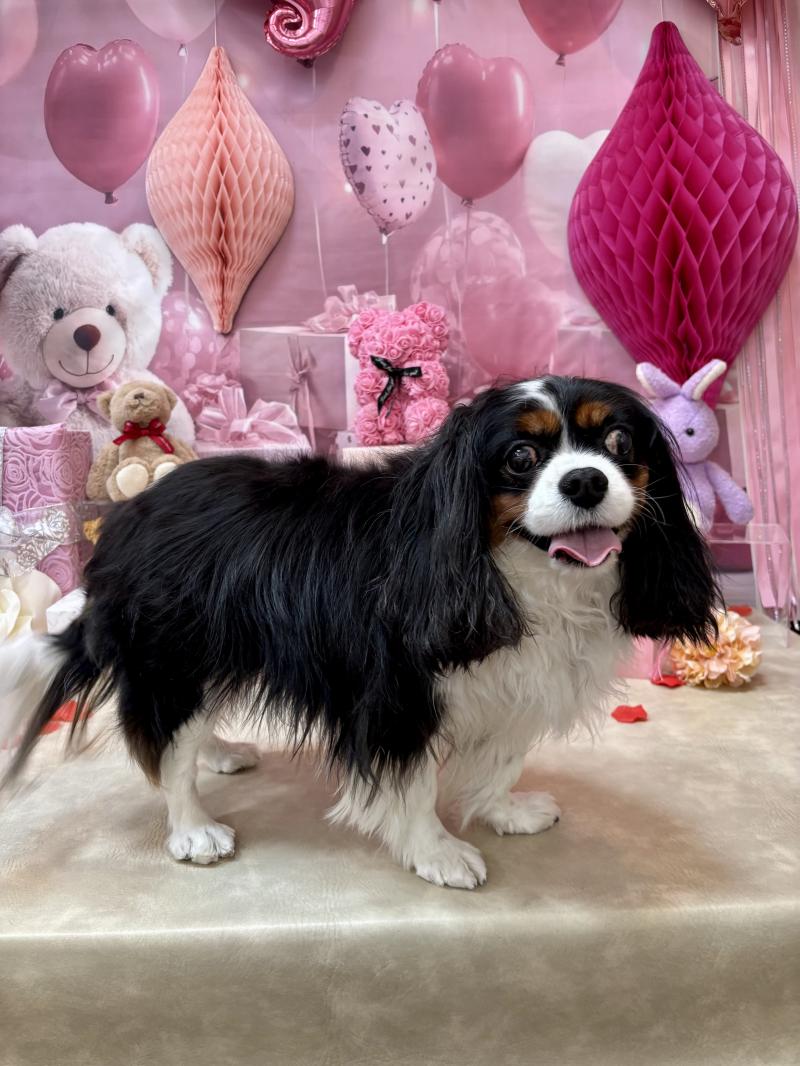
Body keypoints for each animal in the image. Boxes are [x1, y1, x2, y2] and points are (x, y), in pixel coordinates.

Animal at [1, 377, 718, 888]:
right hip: (176, 655)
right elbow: (416, 783)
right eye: (521, 456)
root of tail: (129, 514)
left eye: (620, 447)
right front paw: (436, 852)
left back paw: (219, 752)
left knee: (186, 733)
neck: (516, 569)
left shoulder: (514, 684)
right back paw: (193, 828)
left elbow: (501, 761)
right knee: (167, 748)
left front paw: (504, 813)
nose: (586, 479)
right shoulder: (397, 694)